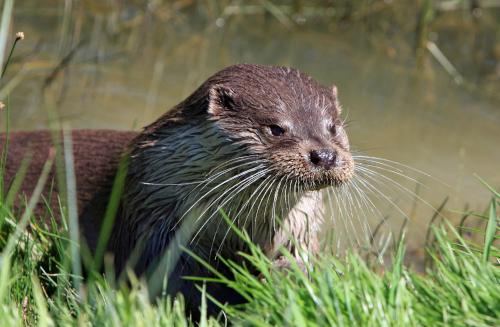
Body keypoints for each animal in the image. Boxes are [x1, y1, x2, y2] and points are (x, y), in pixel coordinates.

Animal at [0, 63, 352, 316]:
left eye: (333, 127)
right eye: (276, 128)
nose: (325, 155)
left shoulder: (299, 226)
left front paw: (288, 276)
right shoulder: (153, 222)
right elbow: (175, 283)